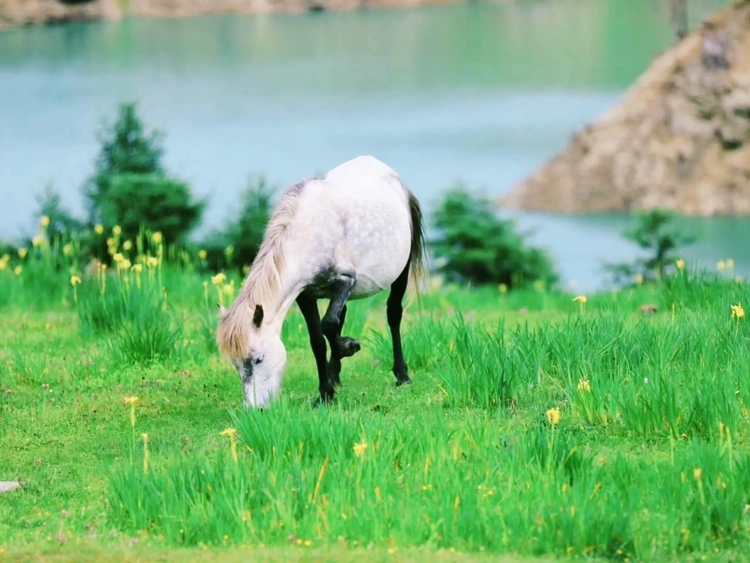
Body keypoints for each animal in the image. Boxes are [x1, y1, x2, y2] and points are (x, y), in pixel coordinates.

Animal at [216, 155, 427, 409]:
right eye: (236, 364)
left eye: (258, 359)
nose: (255, 410)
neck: (309, 233)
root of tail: (398, 183)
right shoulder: (305, 295)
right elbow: (318, 339)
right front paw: (326, 392)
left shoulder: (345, 281)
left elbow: (328, 325)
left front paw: (349, 347)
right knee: (341, 317)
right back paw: (334, 375)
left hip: (401, 272)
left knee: (393, 314)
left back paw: (401, 375)